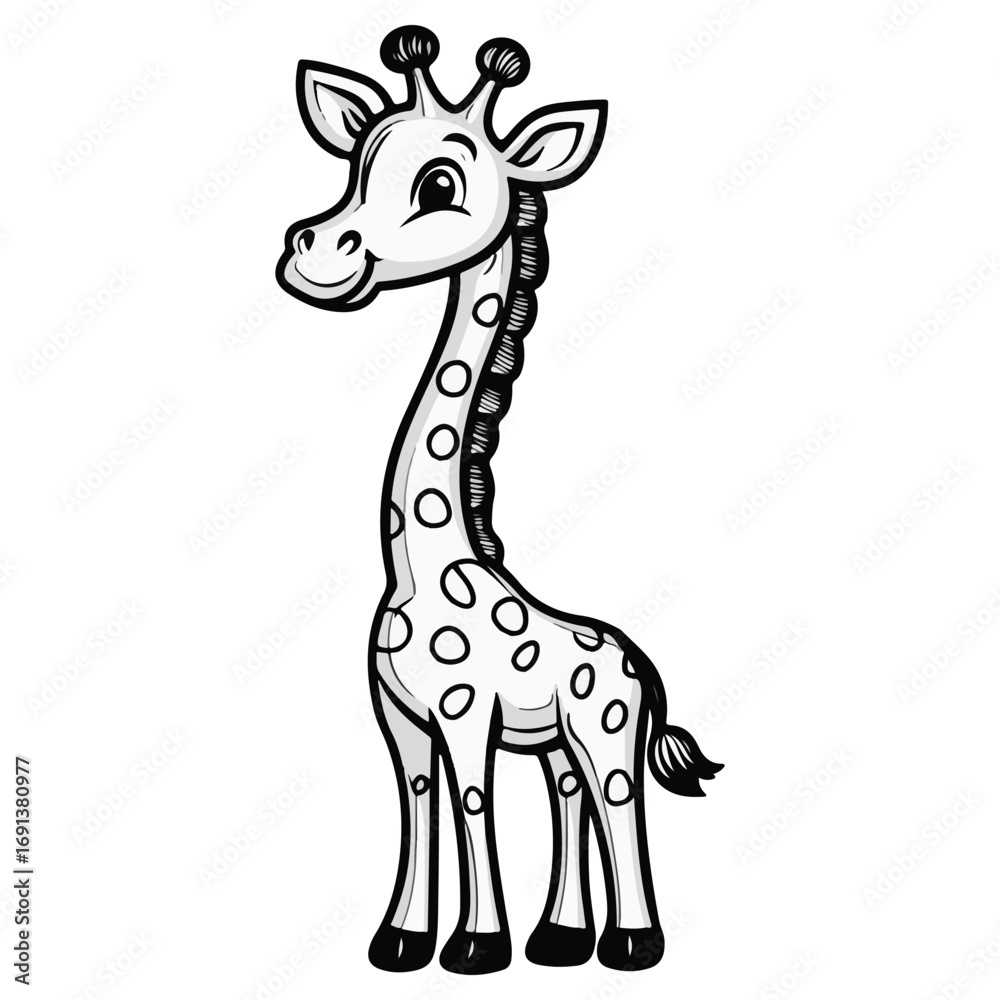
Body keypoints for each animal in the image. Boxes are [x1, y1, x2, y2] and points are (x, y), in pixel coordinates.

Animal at [276, 26, 723, 975]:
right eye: (356, 163)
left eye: (439, 184)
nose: (314, 253)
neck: (420, 570)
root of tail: (638, 661)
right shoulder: (403, 719)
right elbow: (420, 806)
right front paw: (402, 941)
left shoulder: (465, 713)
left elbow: (472, 804)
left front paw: (477, 947)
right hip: (554, 739)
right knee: (571, 798)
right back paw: (561, 940)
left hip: (606, 728)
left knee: (618, 798)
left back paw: (632, 943)